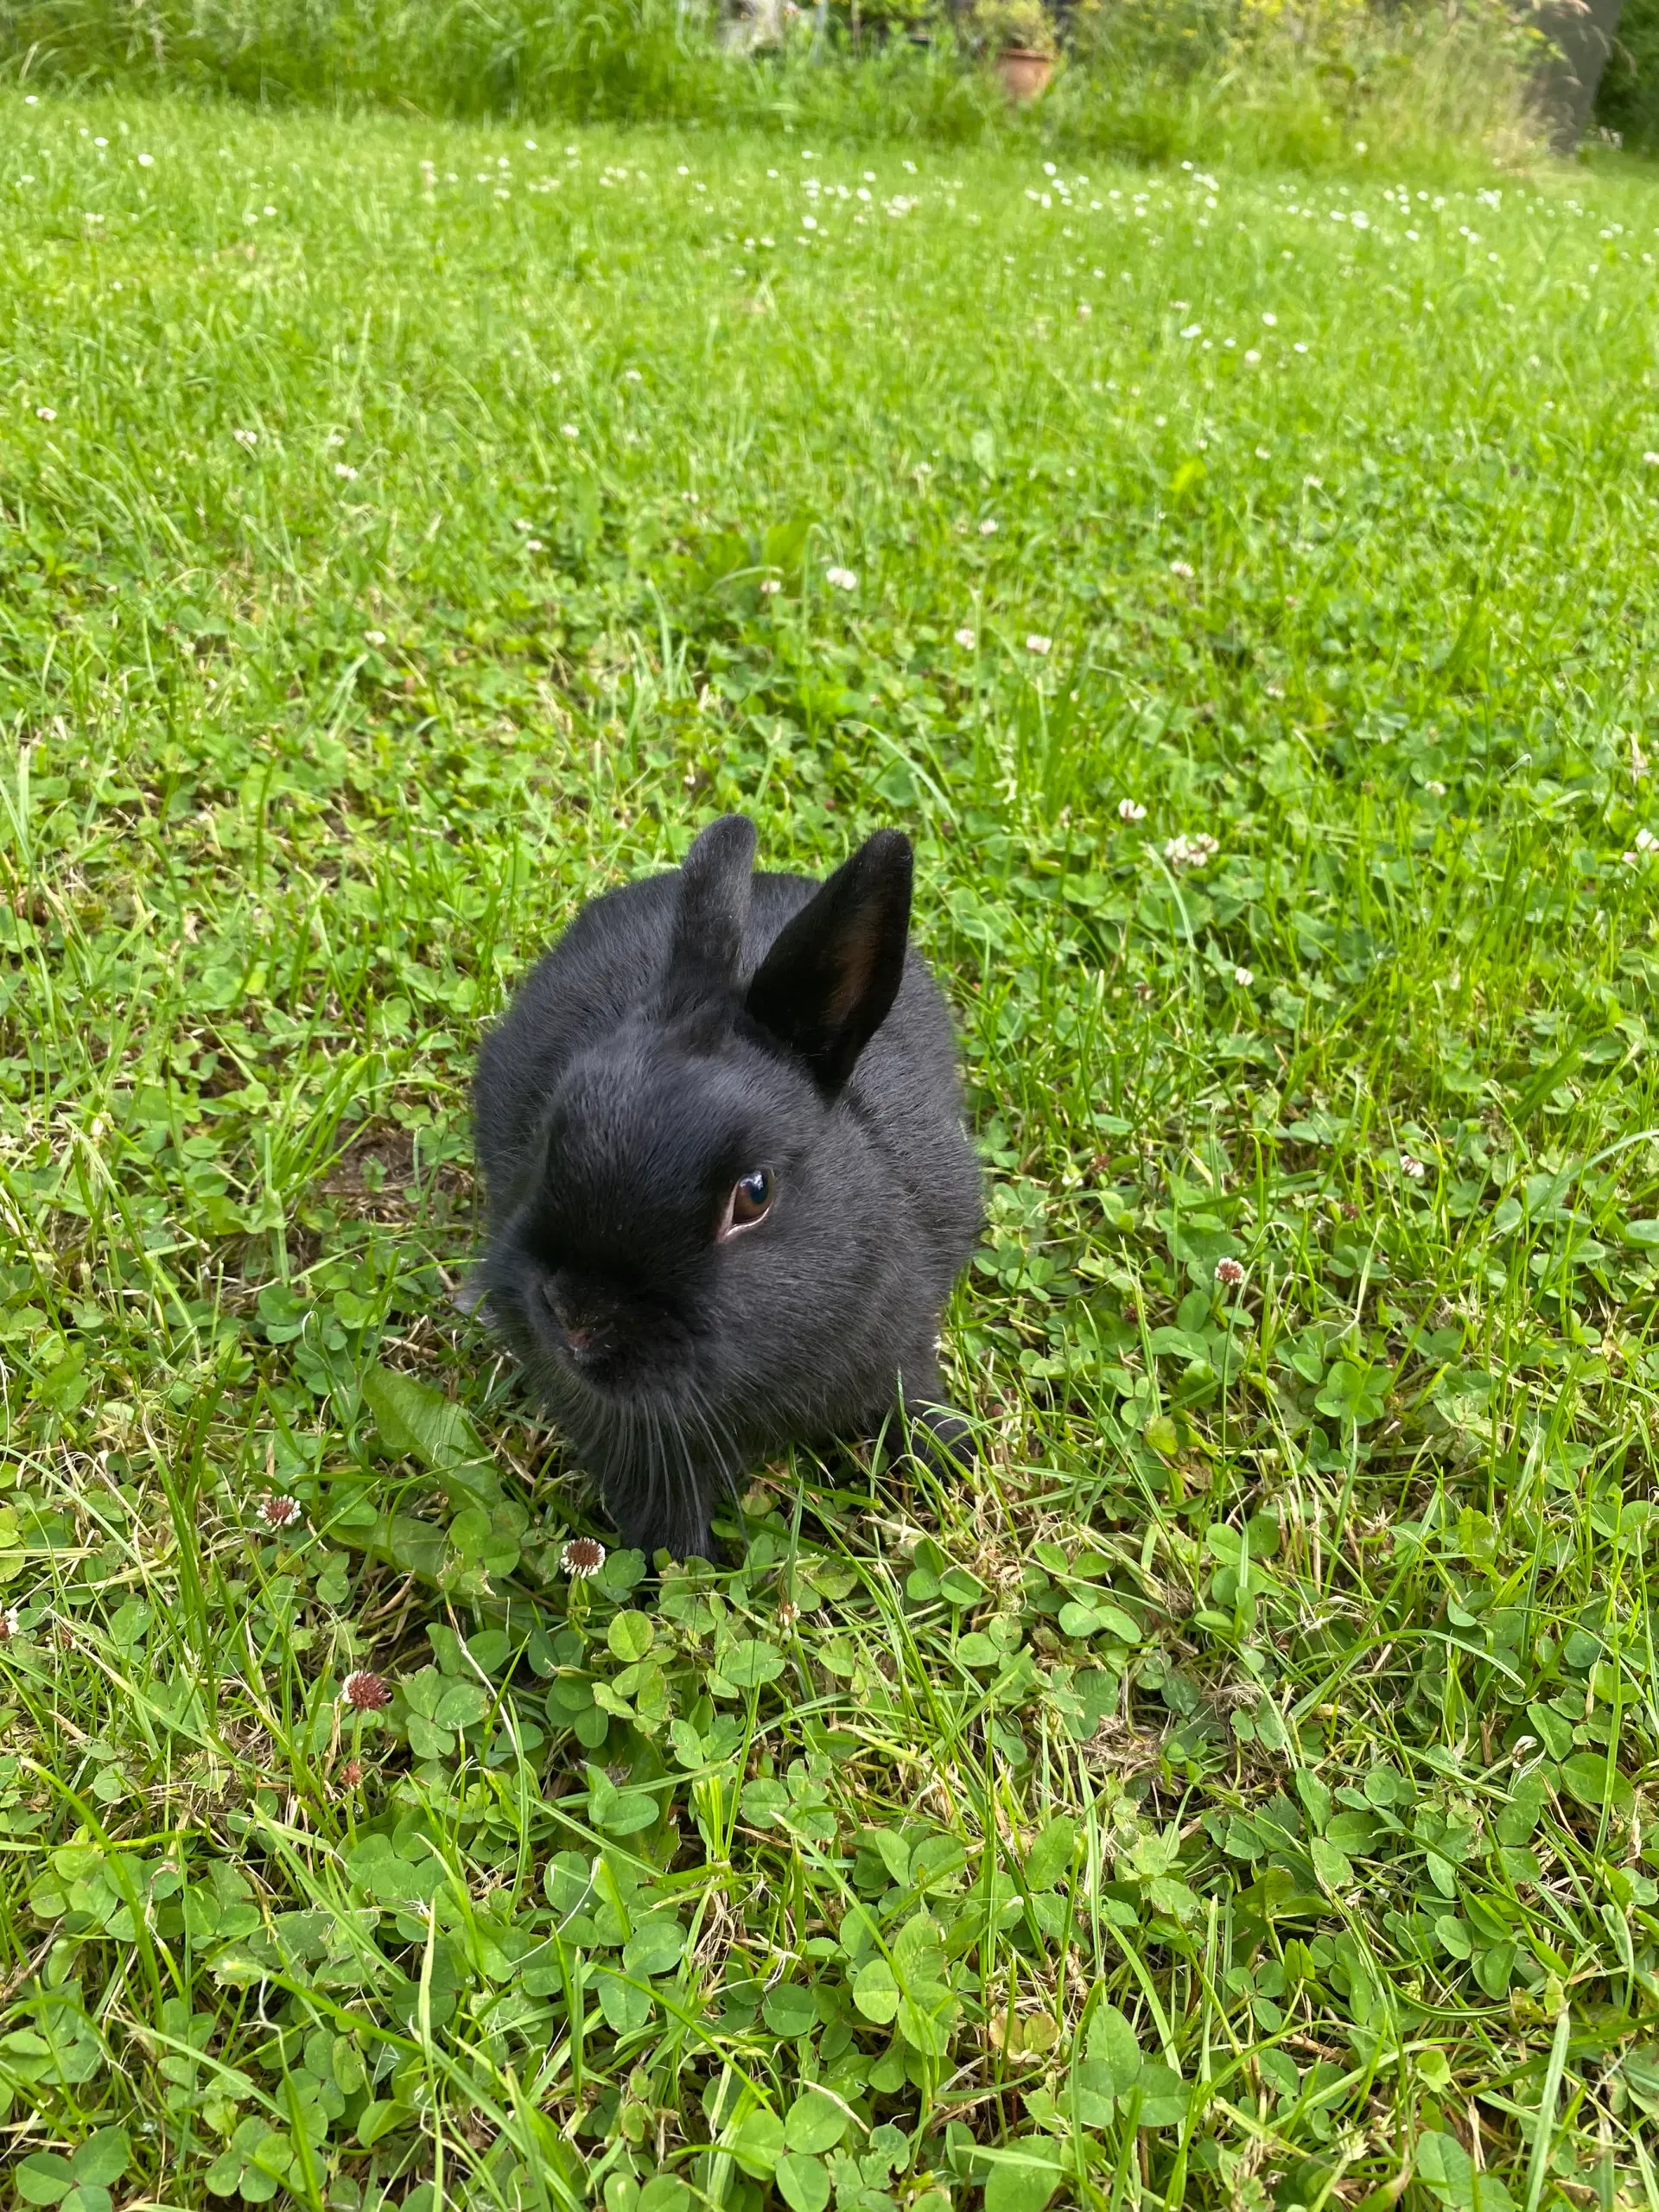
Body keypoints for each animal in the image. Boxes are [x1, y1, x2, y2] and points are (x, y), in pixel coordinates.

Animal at [473, 823, 982, 1566]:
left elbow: (913, 1399)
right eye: (550, 1135)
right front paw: (677, 1571)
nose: (574, 1316)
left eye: (754, 1194)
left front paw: (951, 1464)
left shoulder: (904, 1346)